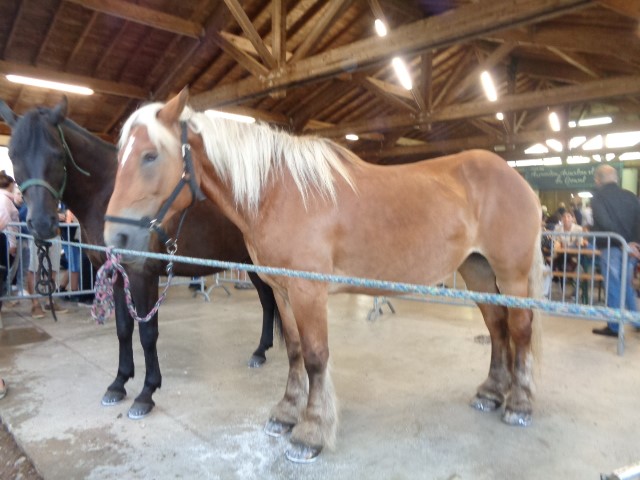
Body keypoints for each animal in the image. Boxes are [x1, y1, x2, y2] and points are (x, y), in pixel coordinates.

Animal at [0, 98, 281, 420]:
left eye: (57, 154)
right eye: (13, 154)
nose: (42, 224)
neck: (106, 192)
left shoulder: (141, 274)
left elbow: (147, 333)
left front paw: (147, 392)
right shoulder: (114, 274)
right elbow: (123, 329)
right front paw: (119, 383)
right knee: (267, 301)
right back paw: (260, 351)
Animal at [103, 89, 543, 463]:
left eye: (149, 156)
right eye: (119, 157)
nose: (115, 238)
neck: (278, 192)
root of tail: (516, 177)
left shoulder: (308, 292)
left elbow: (316, 357)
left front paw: (311, 431)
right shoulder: (282, 292)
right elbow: (295, 351)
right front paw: (286, 413)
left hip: (511, 275)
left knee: (519, 329)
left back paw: (519, 404)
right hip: (479, 273)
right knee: (497, 327)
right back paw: (491, 393)